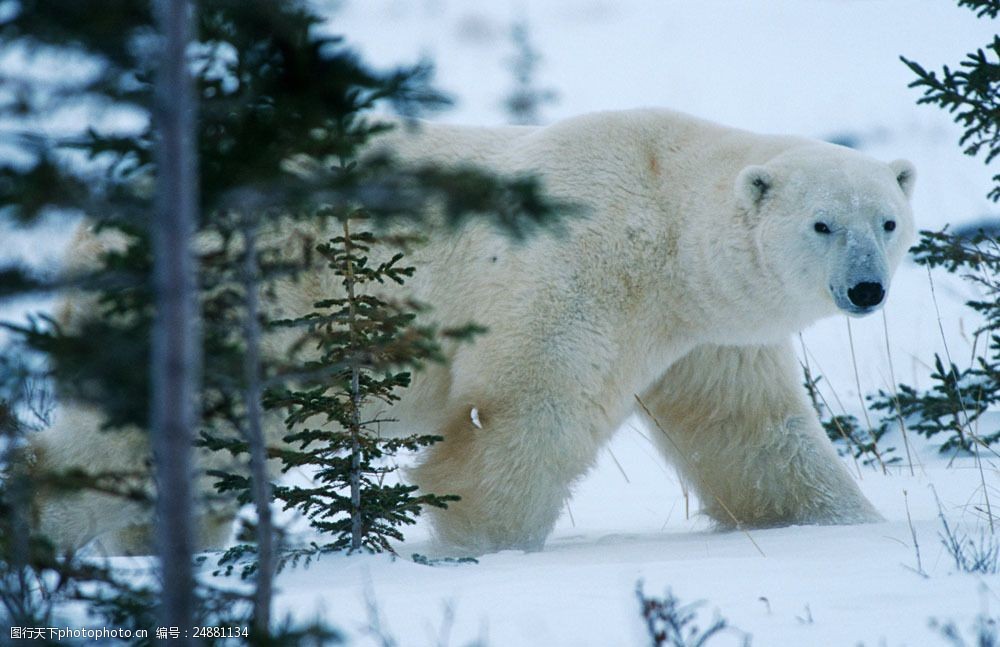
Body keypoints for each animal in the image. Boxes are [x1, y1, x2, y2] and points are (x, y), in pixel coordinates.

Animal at [29, 111, 916, 556]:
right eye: (822, 223)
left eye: (888, 219)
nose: (867, 288)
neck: (661, 210)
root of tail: (90, 234)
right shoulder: (577, 275)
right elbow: (525, 415)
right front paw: (477, 545)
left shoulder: (706, 334)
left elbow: (752, 431)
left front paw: (845, 526)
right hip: (242, 311)